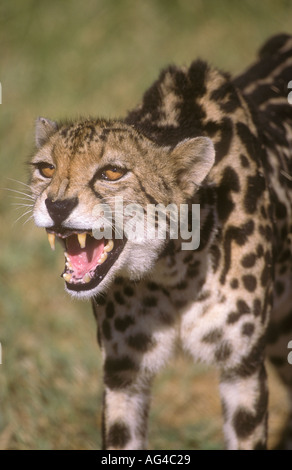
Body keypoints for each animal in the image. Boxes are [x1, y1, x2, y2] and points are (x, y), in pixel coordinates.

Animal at [28, 35, 292, 450]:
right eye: (46, 169)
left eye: (112, 172)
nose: (56, 205)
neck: (173, 270)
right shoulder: (124, 371)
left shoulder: (242, 367)